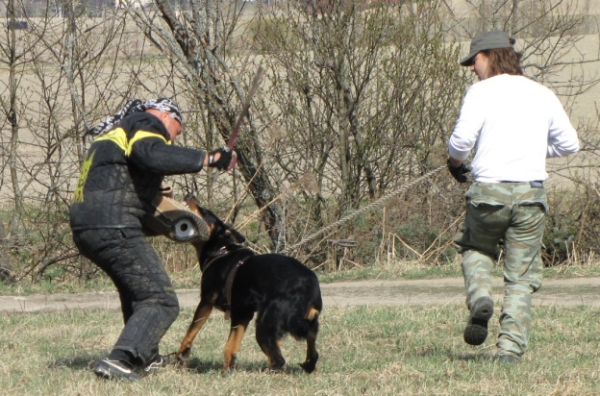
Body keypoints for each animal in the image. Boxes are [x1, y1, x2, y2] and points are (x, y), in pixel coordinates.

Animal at [176, 196, 322, 372]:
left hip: (267, 324)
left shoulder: (206, 301)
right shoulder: (242, 314)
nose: (189, 196)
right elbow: (230, 347)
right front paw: (227, 371)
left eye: (204, 211)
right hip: (302, 321)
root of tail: (311, 288)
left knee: (278, 359)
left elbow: (189, 334)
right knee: (312, 346)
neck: (220, 250)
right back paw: (308, 364)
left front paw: (180, 357)